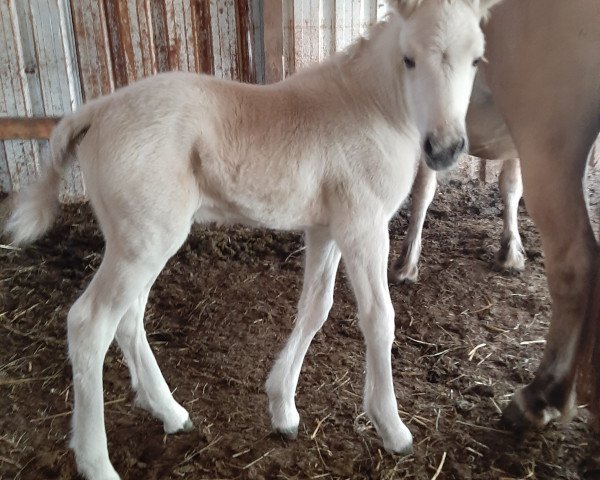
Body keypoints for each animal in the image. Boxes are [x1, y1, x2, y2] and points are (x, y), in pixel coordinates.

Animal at [5, 1, 502, 478]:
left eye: (478, 59)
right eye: (408, 58)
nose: (445, 149)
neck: (372, 106)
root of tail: (96, 111)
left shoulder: (326, 229)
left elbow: (315, 309)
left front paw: (283, 409)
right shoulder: (364, 225)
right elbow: (379, 318)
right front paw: (392, 428)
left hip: (137, 241)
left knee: (128, 319)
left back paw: (171, 413)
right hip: (143, 243)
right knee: (89, 324)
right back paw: (98, 462)